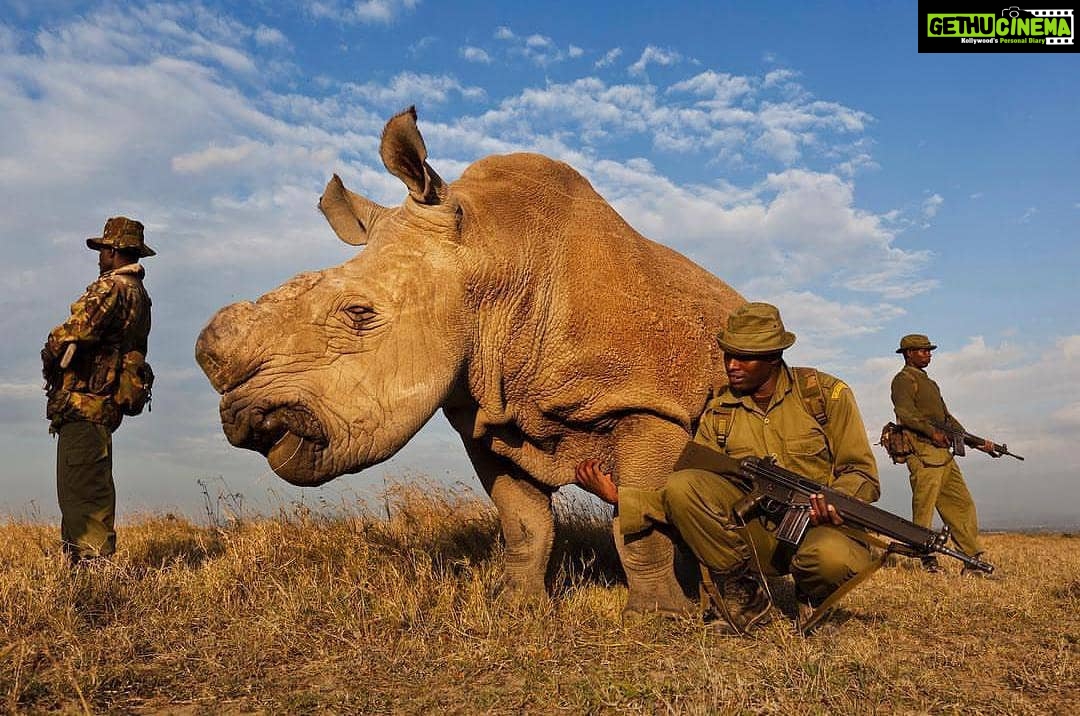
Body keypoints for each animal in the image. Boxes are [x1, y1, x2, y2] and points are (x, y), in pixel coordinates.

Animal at [196, 107, 745, 615]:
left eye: (358, 313)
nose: (245, 419)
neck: (494, 259)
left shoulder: (649, 403)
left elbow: (639, 523)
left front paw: (659, 617)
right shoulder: (487, 417)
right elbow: (523, 522)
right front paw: (520, 607)